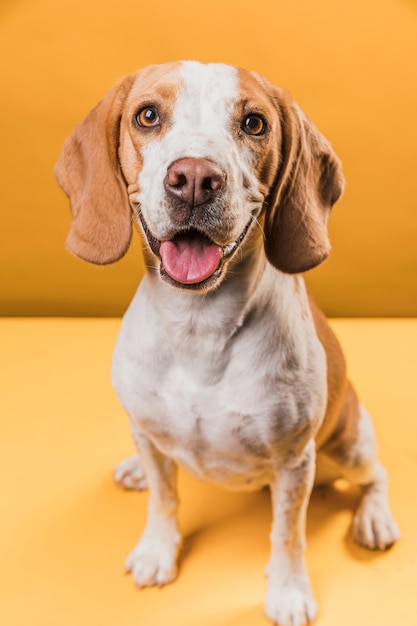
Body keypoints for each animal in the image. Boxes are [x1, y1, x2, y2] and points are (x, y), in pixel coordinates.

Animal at [53, 62, 398, 624]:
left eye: (254, 123)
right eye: (147, 115)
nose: (194, 178)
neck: (199, 329)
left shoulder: (294, 464)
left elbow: (288, 534)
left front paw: (288, 591)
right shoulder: (149, 431)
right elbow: (164, 499)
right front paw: (157, 549)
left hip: (346, 446)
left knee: (377, 474)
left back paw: (375, 518)